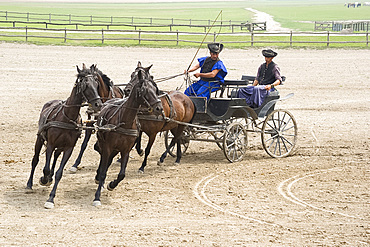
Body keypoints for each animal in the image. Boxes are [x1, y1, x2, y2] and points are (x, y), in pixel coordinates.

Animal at [25, 63, 102, 208]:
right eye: (85, 84)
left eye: (96, 83)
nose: (98, 104)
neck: (67, 117)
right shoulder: (50, 144)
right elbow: (46, 168)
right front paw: (44, 179)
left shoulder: (68, 148)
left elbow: (59, 173)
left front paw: (51, 198)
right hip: (39, 139)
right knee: (35, 160)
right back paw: (29, 184)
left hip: (60, 147)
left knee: (55, 157)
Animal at [92, 62, 162, 206]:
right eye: (145, 90)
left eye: (155, 88)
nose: (159, 108)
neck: (125, 120)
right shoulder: (108, 147)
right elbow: (103, 171)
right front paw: (97, 196)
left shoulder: (125, 150)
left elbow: (122, 174)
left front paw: (111, 184)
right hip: (104, 144)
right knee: (102, 158)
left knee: (107, 162)